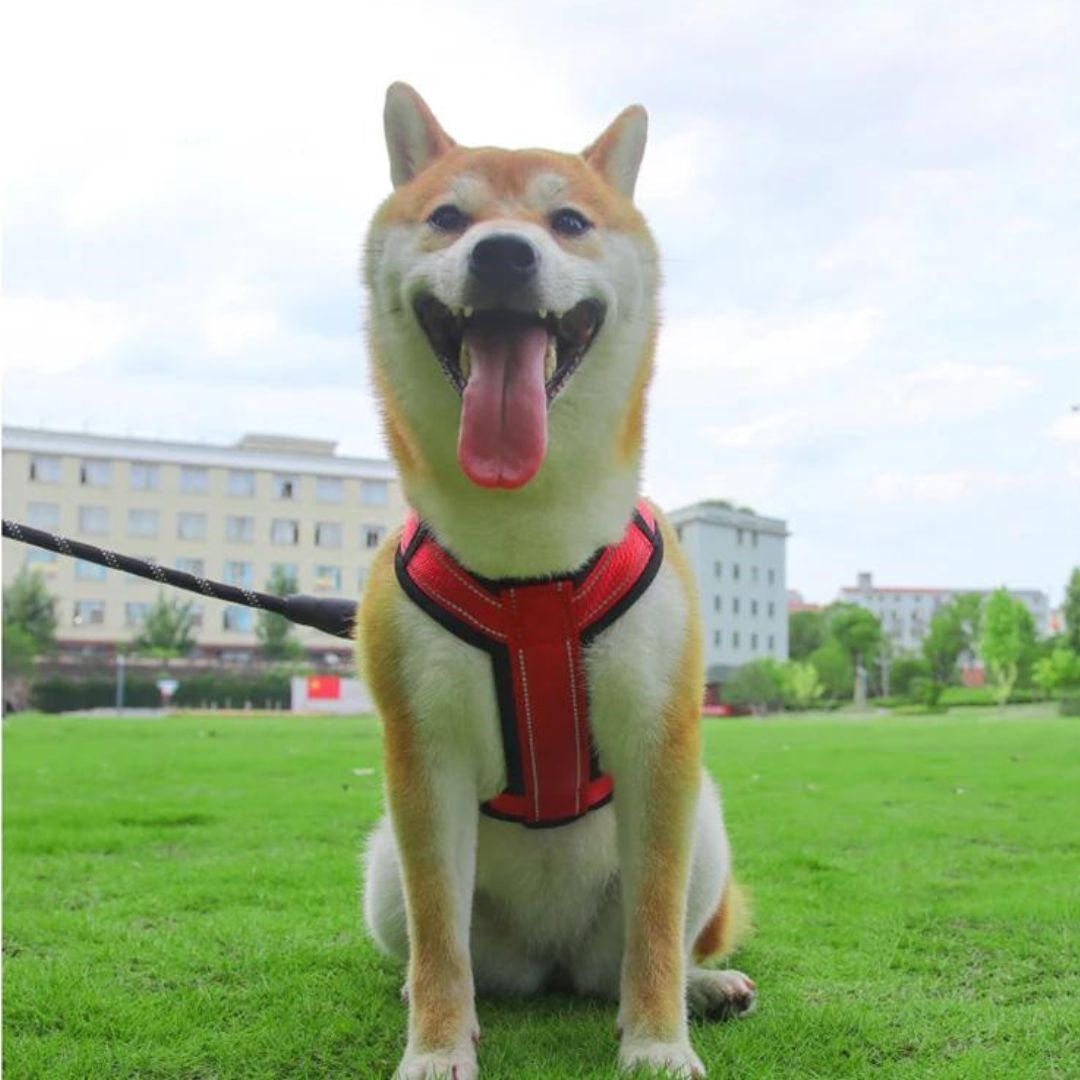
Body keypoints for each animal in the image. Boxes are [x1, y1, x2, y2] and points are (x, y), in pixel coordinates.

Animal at [358, 79, 756, 1075]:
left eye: (569, 220)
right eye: (449, 217)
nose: (501, 252)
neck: (527, 553)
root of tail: (554, 963)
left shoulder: (661, 743)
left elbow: (655, 925)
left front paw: (657, 1042)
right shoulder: (421, 755)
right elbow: (438, 931)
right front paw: (435, 1049)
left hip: (706, 828)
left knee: (650, 947)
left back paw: (701, 987)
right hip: (380, 866)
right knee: (443, 946)